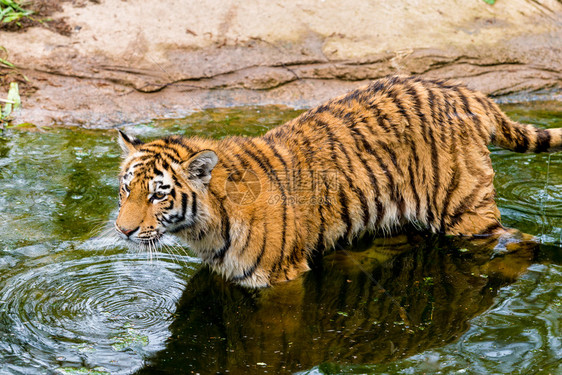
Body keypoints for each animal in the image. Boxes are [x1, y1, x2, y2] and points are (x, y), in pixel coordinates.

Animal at [115, 75, 560, 290]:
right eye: (126, 189)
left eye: (158, 195)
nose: (122, 230)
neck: (203, 230)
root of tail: (466, 92)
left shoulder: (280, 280)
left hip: (464, 208)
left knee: (521, 239)